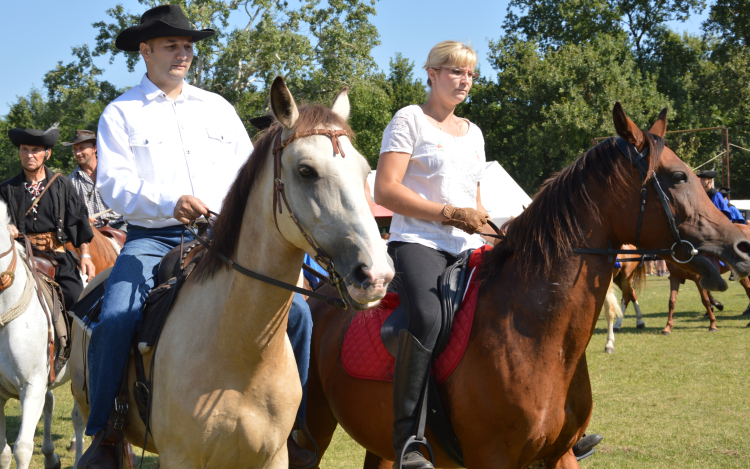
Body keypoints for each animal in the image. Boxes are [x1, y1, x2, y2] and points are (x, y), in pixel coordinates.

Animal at [302, 103, 750, 468]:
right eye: (677, 177)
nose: (741, 245)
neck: (536, 334)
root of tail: (319, 292)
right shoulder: (492, 459)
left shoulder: (559, 454)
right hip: (311, 431)